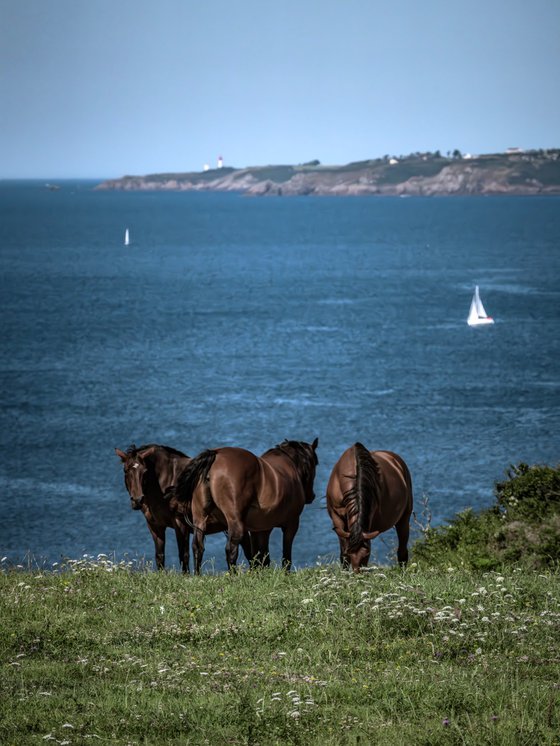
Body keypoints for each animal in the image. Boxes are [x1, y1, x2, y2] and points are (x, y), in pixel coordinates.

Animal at [168, 438, 320, 572]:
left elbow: (260, 557)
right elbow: (285, 556)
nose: (311, 496)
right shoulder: (291, 524)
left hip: (200, 519)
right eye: (315, 463)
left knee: (197, 547)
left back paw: (198, 576)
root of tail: (216, 455)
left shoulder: (260, 529)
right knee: (230, 549)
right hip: (235, 523)